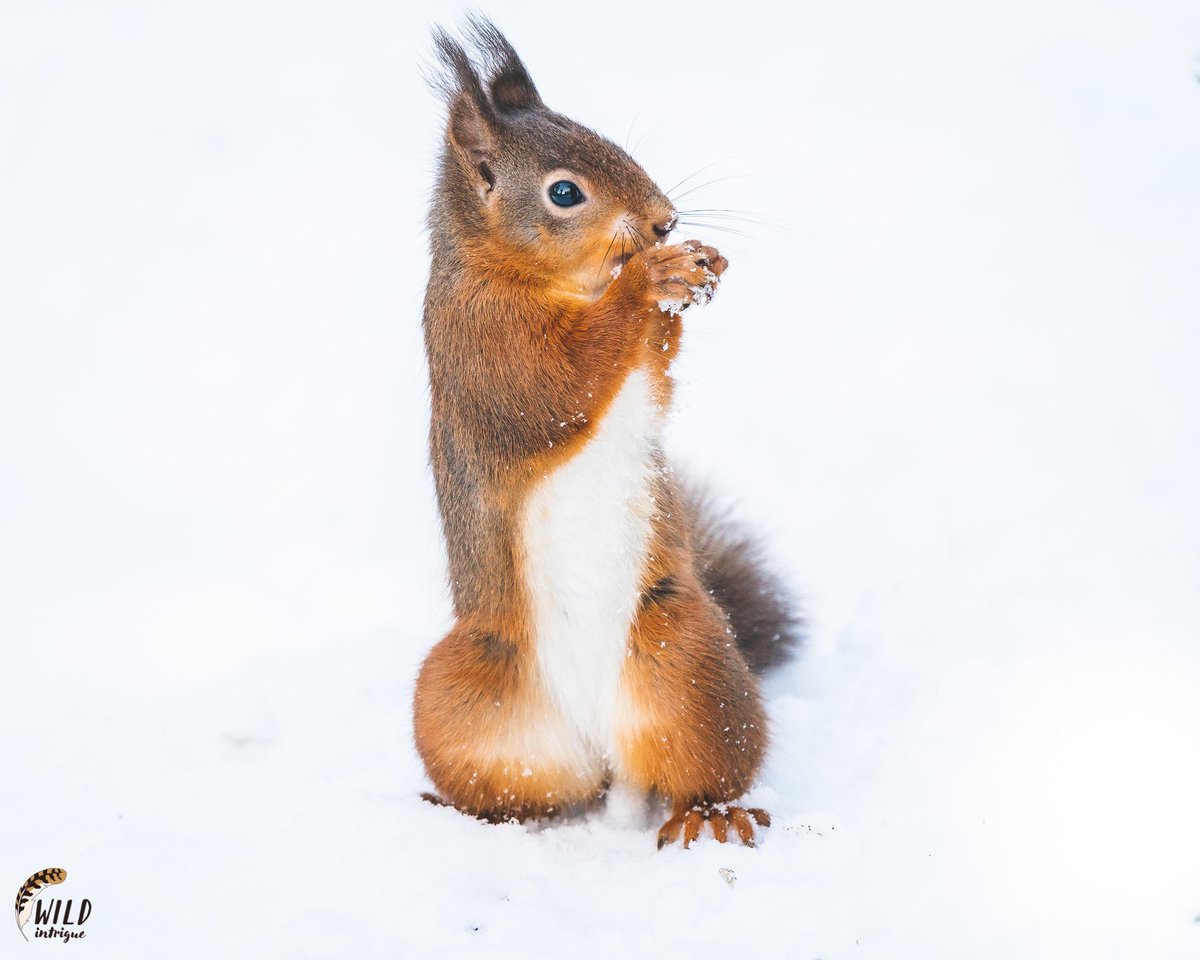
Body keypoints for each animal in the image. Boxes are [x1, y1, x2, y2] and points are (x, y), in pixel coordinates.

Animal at [413, 18, 800, 848]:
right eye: (565, 192)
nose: (665, 221)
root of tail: (601, 755)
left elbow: (649, 383)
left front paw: (694, 269)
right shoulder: (482, 343)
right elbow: (562, 381)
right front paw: (648, 278)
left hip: (689, 664)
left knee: (697, 768)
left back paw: (710, 814)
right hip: (464, 696)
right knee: (519, 790)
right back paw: (466, 816)